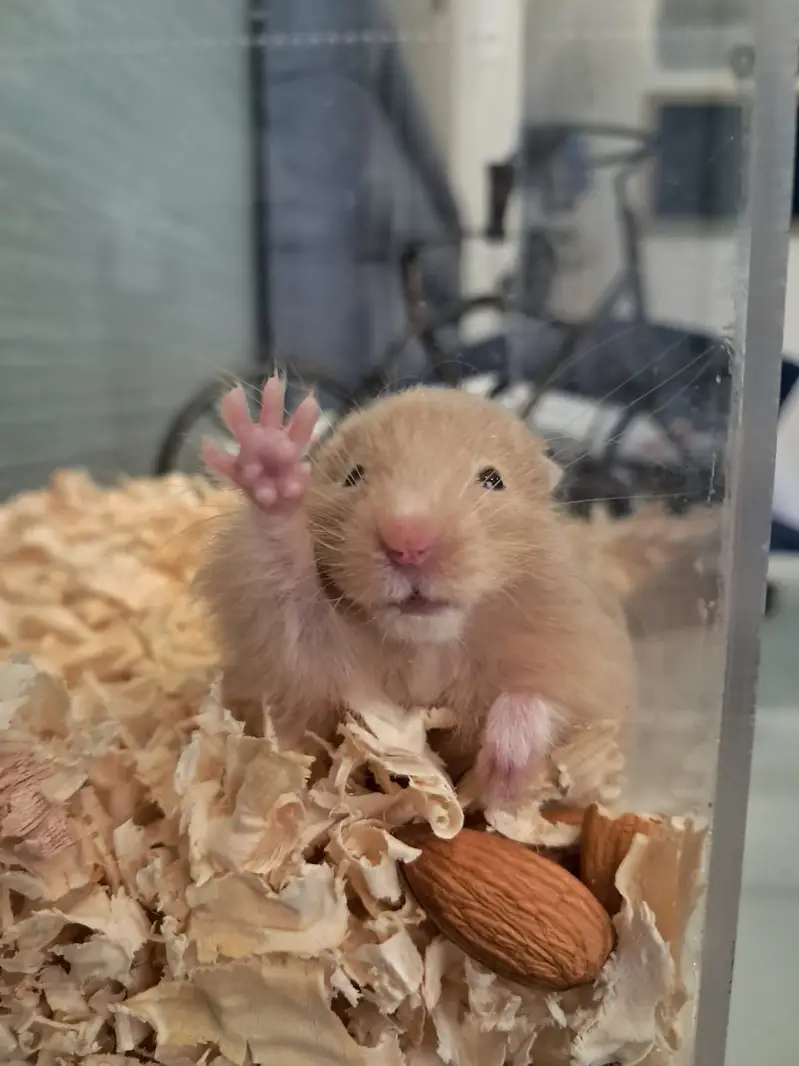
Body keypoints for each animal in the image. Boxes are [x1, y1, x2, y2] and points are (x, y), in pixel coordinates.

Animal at [199, 377, 634, 803]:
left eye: (493, 479)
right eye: (354, 476)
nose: (407, 541)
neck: (426, 649)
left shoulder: (582, 662)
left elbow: (547, 701)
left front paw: (502, 776)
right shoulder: (305, 653)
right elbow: (284, 577)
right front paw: (270, 451)